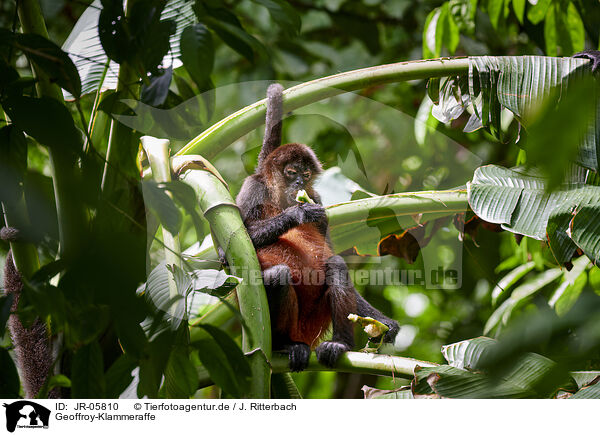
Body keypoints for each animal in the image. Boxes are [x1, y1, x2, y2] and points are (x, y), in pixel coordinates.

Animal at [237, 84, 400, 372]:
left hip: (315, 317)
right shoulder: (252, 187)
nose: (300, 182)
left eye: (306, 175)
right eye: (291, 172)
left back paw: (340, 344)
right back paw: (285, 345)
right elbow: (225, 256)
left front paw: (387, 326)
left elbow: (328, 253)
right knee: (279, 276)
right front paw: (298, 214)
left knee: (335, 264)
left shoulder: (318, 199)